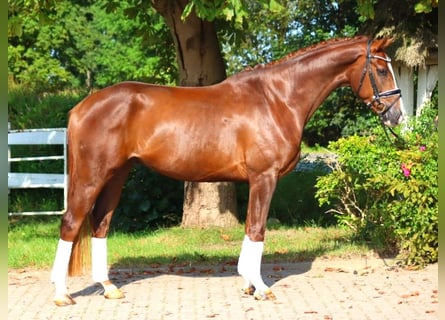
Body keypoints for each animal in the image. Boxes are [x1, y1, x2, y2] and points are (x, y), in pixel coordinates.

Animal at [51, 36, 402, 306]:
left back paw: (109, 288)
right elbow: (258, 229)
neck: (278, 99)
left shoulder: (257, 180)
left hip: (116, 176)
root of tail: (80, 107)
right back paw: (61, 294)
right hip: (92, 176)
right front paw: (261, 288)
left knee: (100, 224)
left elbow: (250, 228)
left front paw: (248, 283)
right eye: (381, 70)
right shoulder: (264, 177)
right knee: (71, 223)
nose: (396, 115)